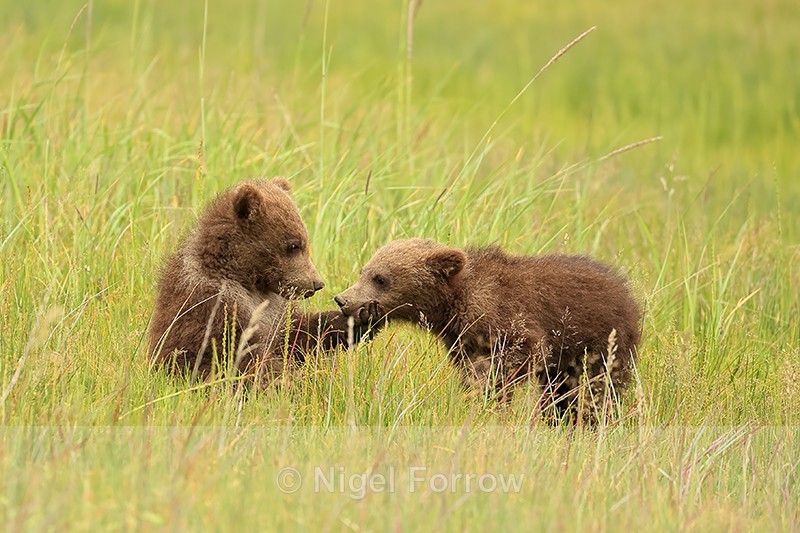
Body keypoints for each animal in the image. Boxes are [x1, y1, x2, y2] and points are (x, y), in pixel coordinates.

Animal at [149, 177, 379, 386]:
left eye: (304, 241)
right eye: (293, 245)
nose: (316, 284)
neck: (250, 281)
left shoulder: (277, 311)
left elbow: (299, 333)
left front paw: (362, 317)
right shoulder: (215, 303)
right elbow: (240, 356)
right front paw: (293, 381)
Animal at [334, 239, 642, 424]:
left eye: (380, 278)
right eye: (365, 271)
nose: (343, 299)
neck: (453, 302)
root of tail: (626, 291)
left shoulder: (508, 320)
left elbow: (513, 361)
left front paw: (491, 401)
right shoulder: (462, 338)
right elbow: (472, 370)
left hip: (598, 342)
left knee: (596, 387)